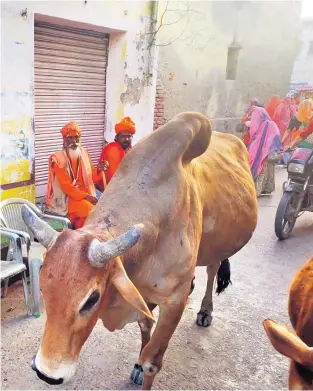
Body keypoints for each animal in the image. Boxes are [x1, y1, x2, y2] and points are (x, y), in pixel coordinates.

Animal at [22, 112, 256, 390]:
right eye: (44, 288)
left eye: (91, 300)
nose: (46, 372)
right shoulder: (142, 294)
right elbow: (145, 327)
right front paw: (136, 366)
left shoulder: (174, 302)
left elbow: (151, 361)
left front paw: (144, 369)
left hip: (216, 248)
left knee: (212, 270)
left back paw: (205, 311)